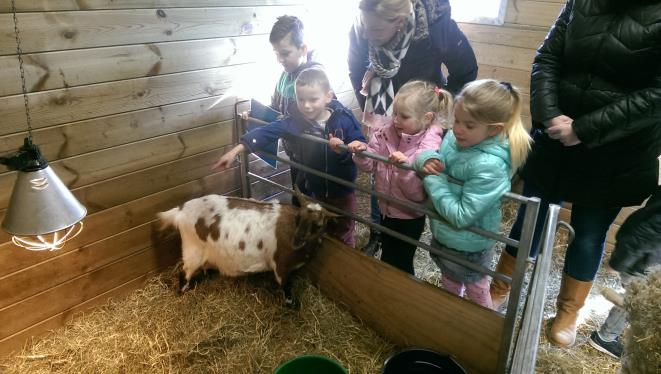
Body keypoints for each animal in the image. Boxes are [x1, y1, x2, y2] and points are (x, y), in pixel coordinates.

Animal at [157, 191, 338, 306]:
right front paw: (292, 304)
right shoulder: (281, 265)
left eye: (318, 225)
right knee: (183, 273)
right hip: (193, 250)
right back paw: (183, 292)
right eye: (298, 218)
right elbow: (286, 287)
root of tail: (180, 210)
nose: (297, 241)